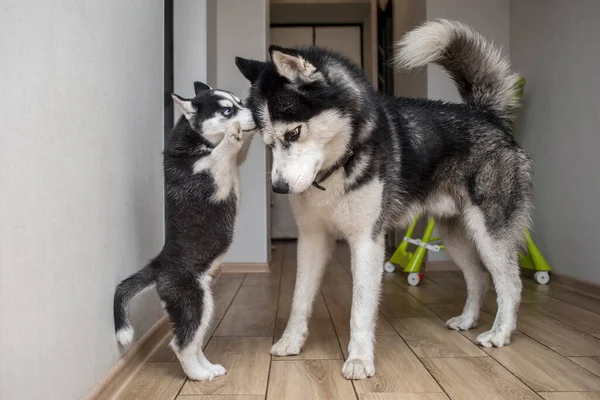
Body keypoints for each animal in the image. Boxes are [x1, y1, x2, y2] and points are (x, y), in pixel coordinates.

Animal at [112, 82, 255, 382]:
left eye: (240, 101)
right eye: (227, 111)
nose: (256, 114)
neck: (197, 142)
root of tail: (158, 264)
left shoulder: (236, 163)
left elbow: (237, 151)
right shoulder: (208, 181)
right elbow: (218, 155)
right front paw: (231, 135)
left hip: (202, 303)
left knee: (192, 341)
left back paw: (208, 368)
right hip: (192, 300)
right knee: (180, 344)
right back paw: (198, 375)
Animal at [237, 19, 532, 382]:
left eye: (293, 133)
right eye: (266, 143)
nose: (279, 188)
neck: (338, 166)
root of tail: (486, 114)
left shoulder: (367, 242)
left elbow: (361, 308)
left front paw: (359, 360)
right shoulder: (311, 239)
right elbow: (299, 299)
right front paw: (291, 342)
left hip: (489, 231)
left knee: (510, 283)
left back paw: (500, 333)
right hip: (455, 235)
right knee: (477, 277)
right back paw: (467, 320)